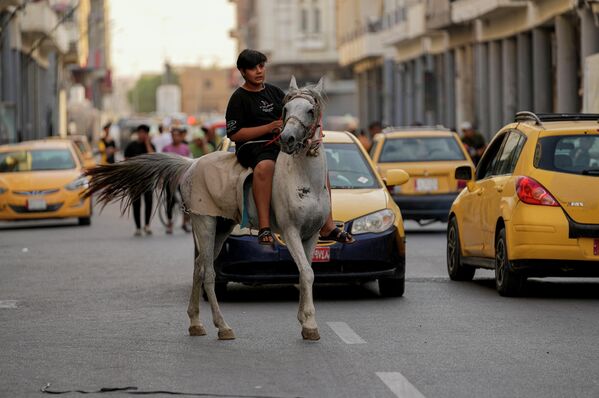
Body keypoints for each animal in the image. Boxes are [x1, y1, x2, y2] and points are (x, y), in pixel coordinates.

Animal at [86, 77, 328, 338]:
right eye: (285, 110)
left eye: (310, 110)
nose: (286, 139)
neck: (304, 180)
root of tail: (191, 163)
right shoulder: (290, 230)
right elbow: (306, 272)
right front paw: (310, 323)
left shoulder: (311, 234)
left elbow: (306, 272)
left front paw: (304, 321)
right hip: (204, 221)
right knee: (209, 273)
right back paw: (222, 326)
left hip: (222, 226)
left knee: (199, 268)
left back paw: (195, 322)